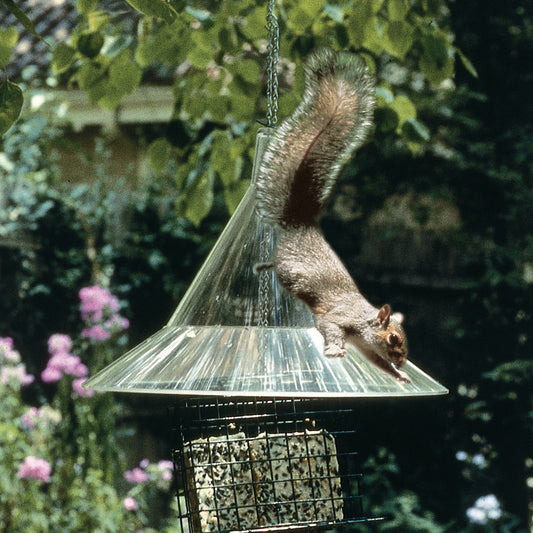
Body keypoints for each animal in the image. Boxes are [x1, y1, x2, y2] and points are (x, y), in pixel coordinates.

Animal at [256, 48, 410, 382]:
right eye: (393, 338)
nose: (404, 361)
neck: (365, 322)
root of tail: (300, 223)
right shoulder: (338, 318)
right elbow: (329, 327)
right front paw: (336, 349)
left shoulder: (367, 348)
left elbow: (377, 362)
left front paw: (398, 376)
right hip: (291, 272)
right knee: (277, 266)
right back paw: (263, 265)